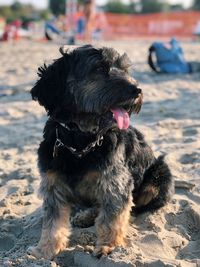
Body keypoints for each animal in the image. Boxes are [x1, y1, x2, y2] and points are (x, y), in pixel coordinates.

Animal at [27, 45, 174, 260]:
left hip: (157, 179)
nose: (137, 90)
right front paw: (44, 250)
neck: (80, 142)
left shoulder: (115, 183)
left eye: (124, 69)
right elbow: (52, 223)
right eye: (98, 68)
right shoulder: (53, 185)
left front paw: (108, 246)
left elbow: (112, 218)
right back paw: (85, 216)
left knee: (136, 206)